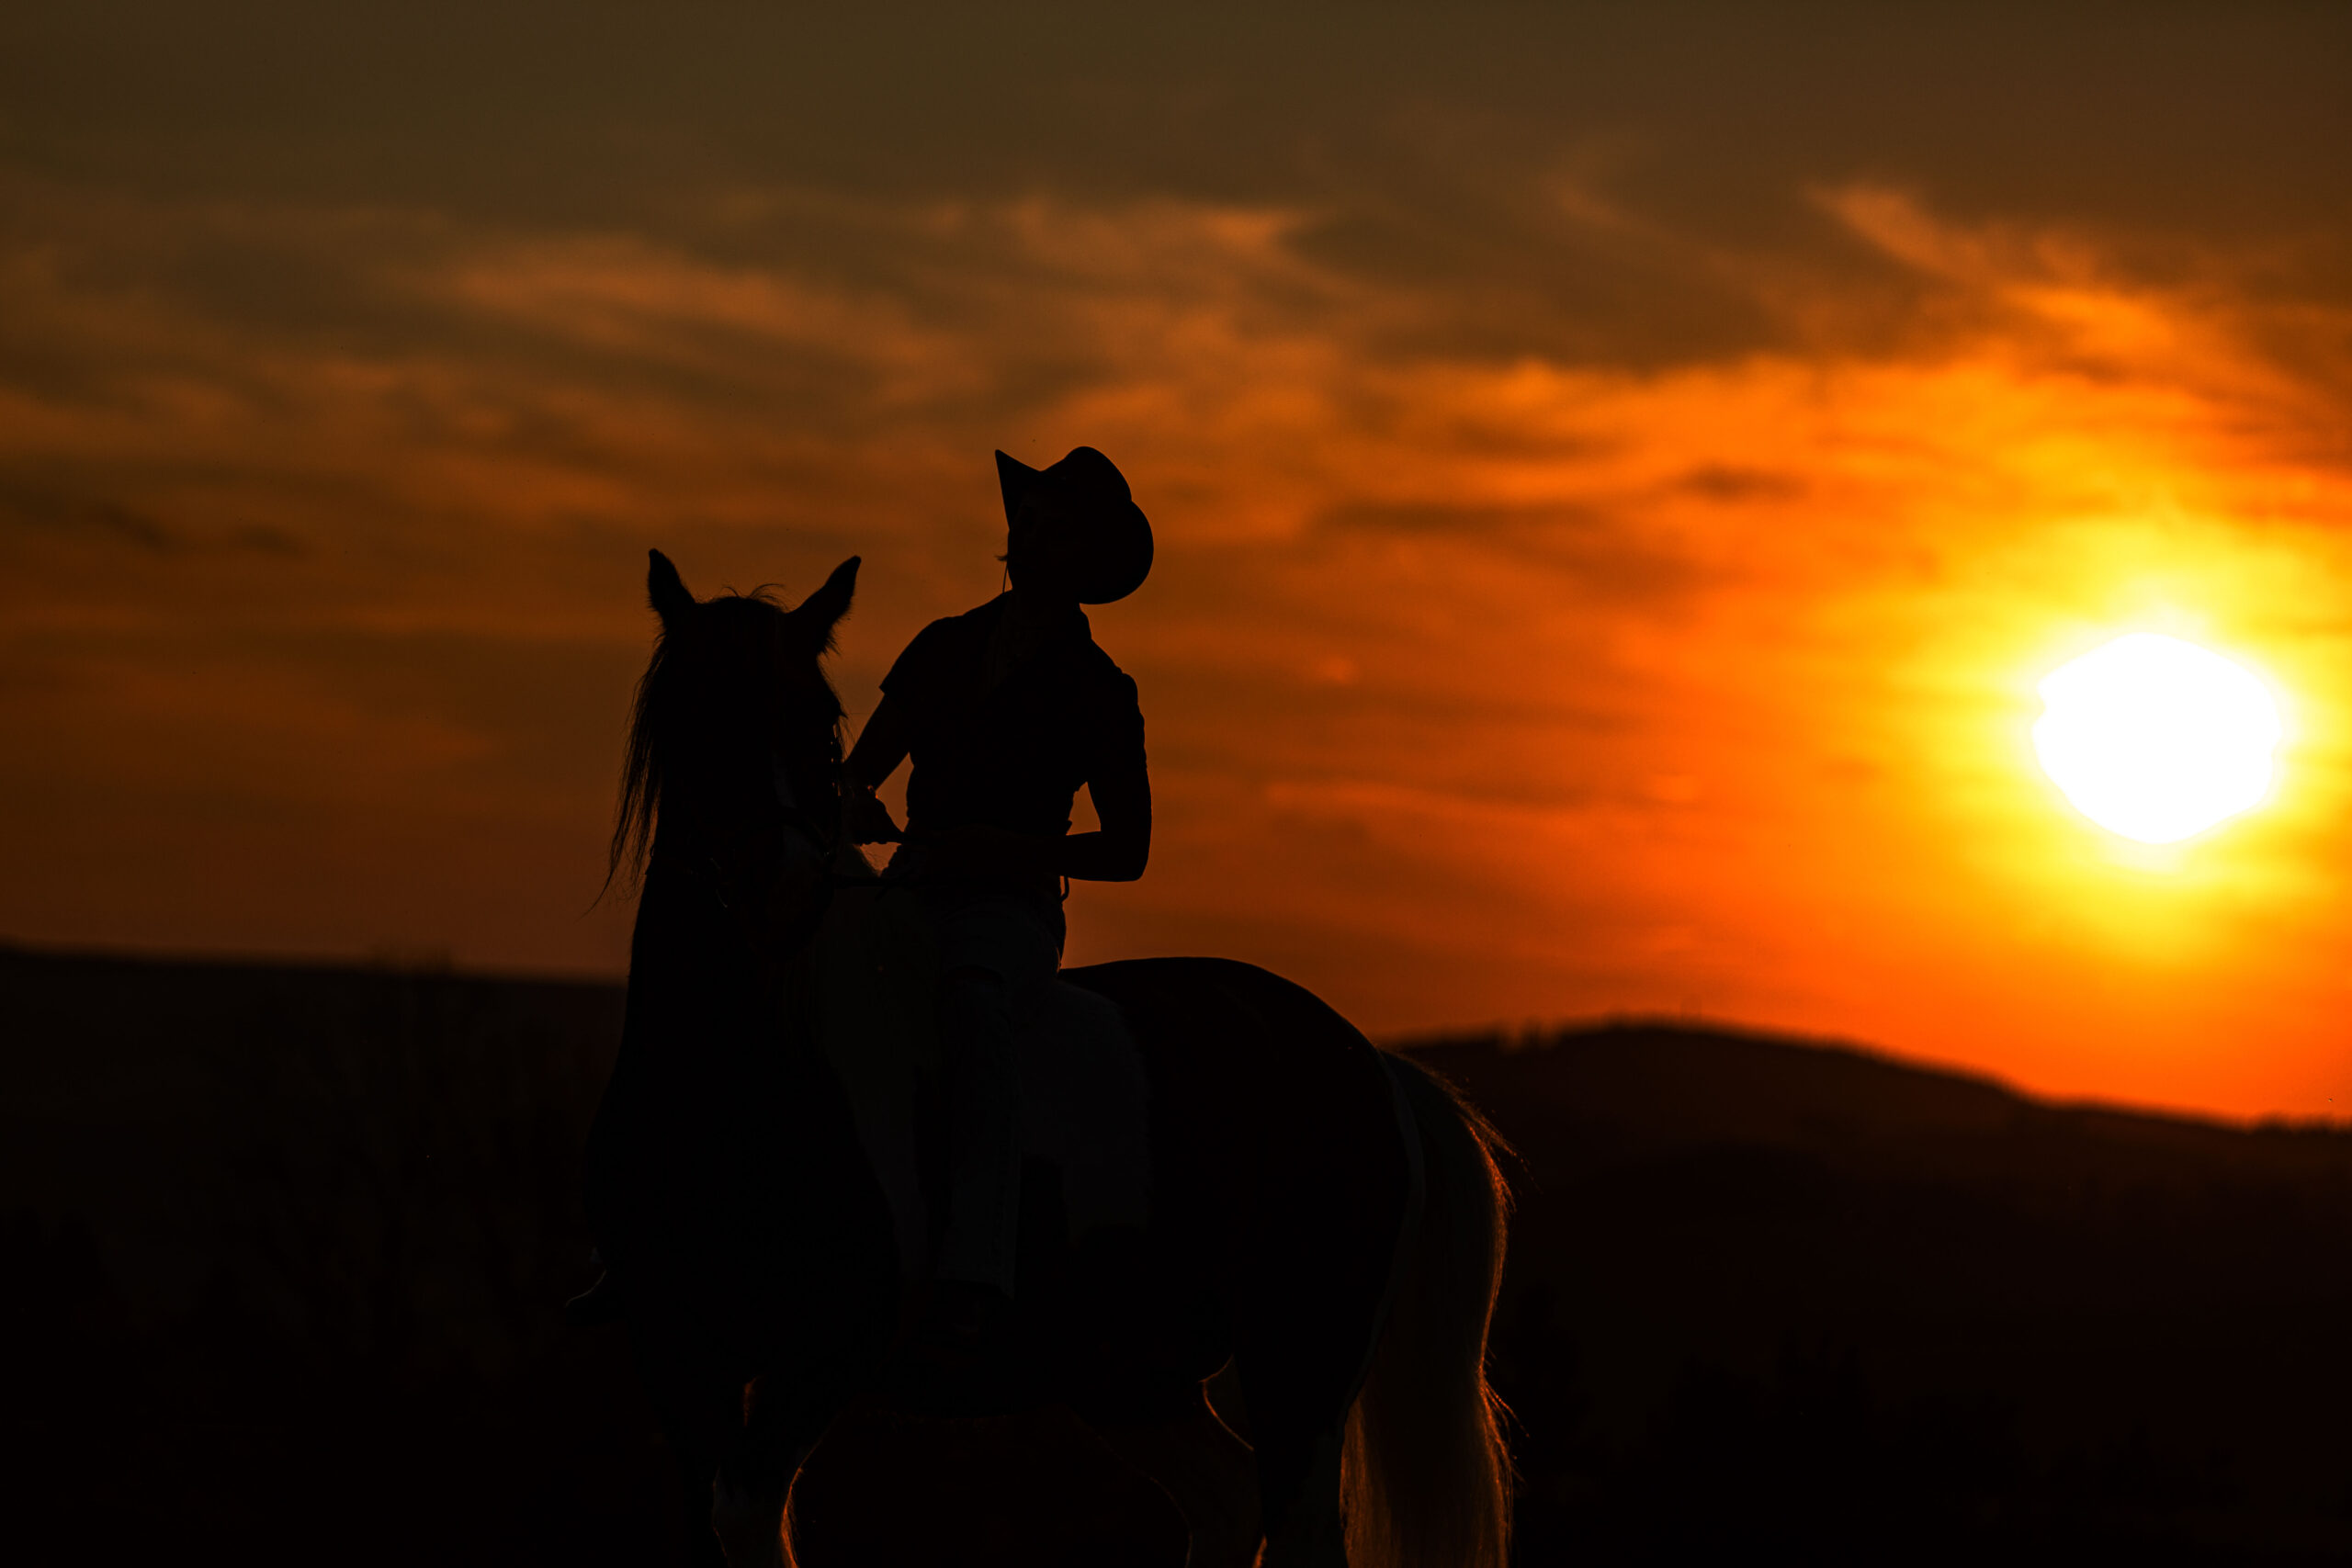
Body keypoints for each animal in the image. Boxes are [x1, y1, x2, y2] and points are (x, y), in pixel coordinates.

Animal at [578, 557, 1514, 1568]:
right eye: (689, 715)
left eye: (819, 720)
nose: (780, 887)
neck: (749, 1076)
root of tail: (1370, 1066)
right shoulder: (682, 1363)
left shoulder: (829, 1351)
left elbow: (748, 1514)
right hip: (1128, 1371)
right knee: (1226, 1501)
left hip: (1299, 1366)